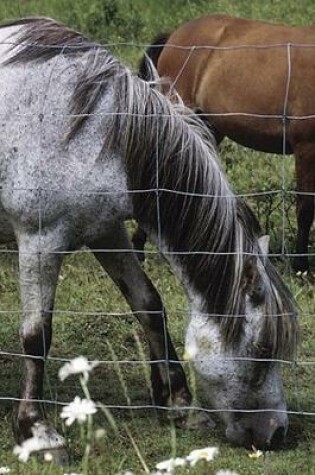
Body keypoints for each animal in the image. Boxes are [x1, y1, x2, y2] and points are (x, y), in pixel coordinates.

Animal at [0, 17, 298, 462]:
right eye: (262, 351)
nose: (276, 433)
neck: (95, 129)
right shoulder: (41, 241)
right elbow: (37, 336)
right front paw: (38, 432)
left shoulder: (106, 232)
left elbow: (149, 305)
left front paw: (178, 403)